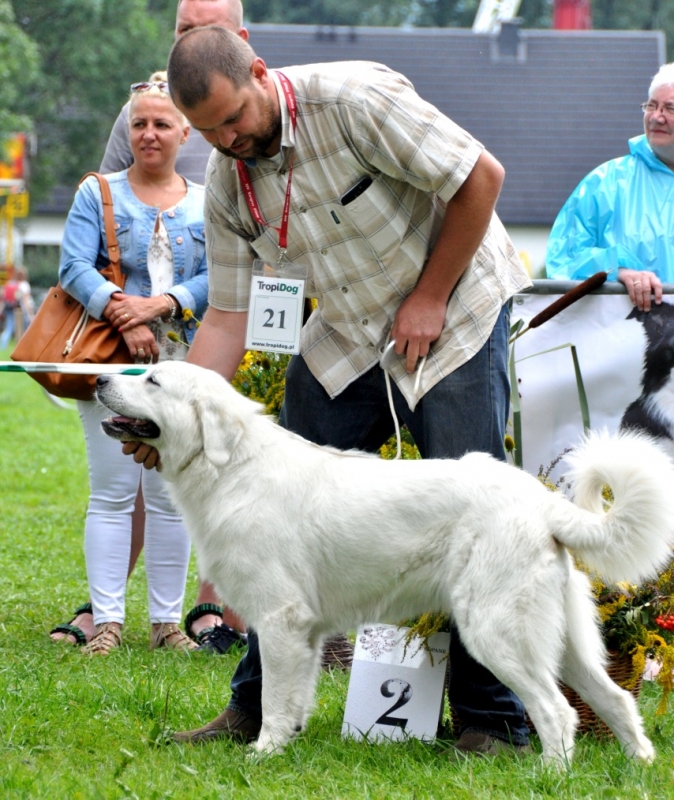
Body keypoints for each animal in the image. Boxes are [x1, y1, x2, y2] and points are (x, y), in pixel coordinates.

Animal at [96, 361, 674, 765]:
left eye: (153, 380)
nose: (99, 379)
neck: (232, 467)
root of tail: (542, 501)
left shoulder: (281, 621)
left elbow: (275, 698)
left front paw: (261, 754)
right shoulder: (304, 633)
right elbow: (291, 699)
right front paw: (283, 747)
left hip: (495, 630)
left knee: (556, 711)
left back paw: (551, 776)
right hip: (563, 641)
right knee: (616, 701)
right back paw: (638, 768)